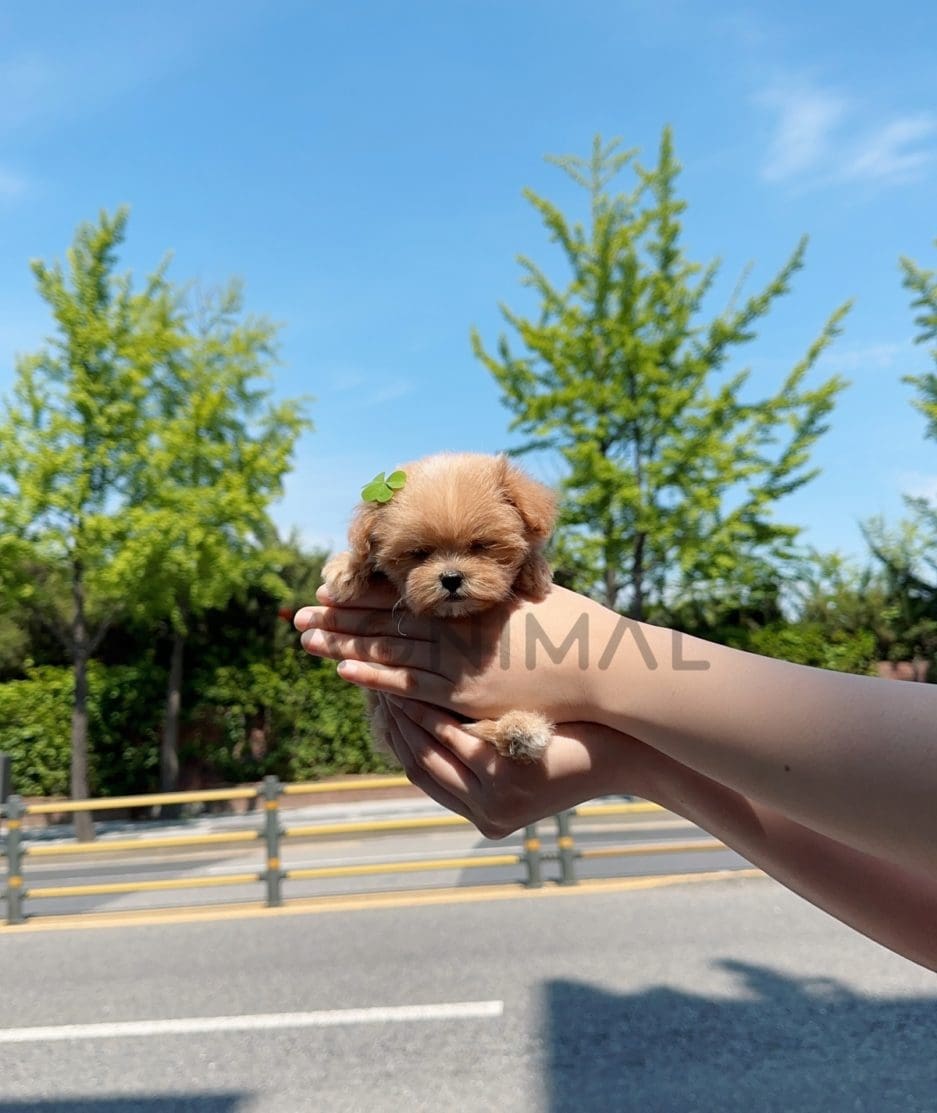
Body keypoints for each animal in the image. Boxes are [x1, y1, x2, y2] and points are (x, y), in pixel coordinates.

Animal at [320, 447, 554, 761]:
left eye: (481, 546)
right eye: (420, 553)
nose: (451, 578)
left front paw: (534, 569)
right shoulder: (380, 711)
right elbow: (365, 554)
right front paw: (347, 567)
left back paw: (521, 731)